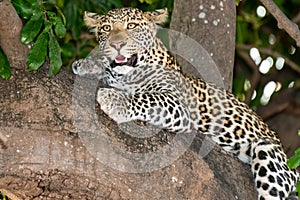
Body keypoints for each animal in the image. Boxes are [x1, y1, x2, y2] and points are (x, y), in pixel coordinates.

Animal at [72, 7, 298, 199]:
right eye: (106, 29)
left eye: (132, 26)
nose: (116, 44)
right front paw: (86, 65)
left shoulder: (180, 106)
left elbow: (148, 97)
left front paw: (114, 99)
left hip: (268, 152)